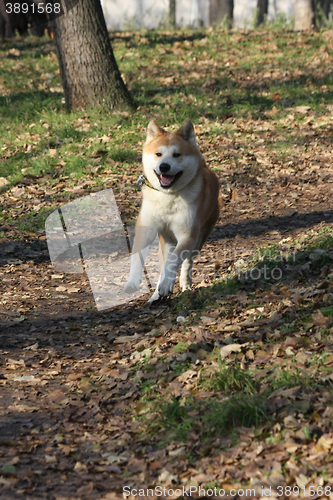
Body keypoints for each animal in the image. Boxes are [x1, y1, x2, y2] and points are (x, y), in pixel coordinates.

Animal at [123, 119, 219, 302]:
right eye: (158, 154)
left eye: (177, 155)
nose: (164, 167)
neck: (168, 197)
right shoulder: (145, 229)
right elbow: (137, 256)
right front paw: (132, 281)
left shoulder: (187, 235)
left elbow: (174, 261)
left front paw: (168, 284)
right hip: (166, 241)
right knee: (164, 266)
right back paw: (156, 296)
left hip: (199, 238)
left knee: (185, 262)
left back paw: (183, 284)